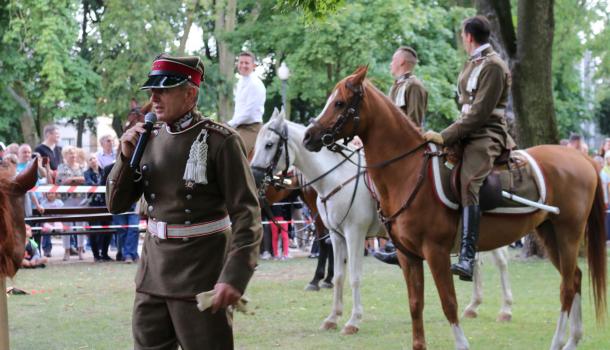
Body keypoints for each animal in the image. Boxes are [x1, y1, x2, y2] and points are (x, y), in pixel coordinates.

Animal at [249, 109, 382, 334]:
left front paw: (353, 321)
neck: (337, 177)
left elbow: (355, 277)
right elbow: (339, 276)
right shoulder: (338, 235)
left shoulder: (355, 234)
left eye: (269, 144)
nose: (254, 176)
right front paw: (333, 317)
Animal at [302, 66, 604, 350]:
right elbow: (415, 303)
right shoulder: (406, 255)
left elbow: (448, 301)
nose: (308, 136)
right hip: (548, 233)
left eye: (339, 102)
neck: (407, 172)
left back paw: (556, 340)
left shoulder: (432, 251)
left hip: (568, 234)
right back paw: (572, 340)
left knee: (566, 286)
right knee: (575, 278)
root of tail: (582, 159)